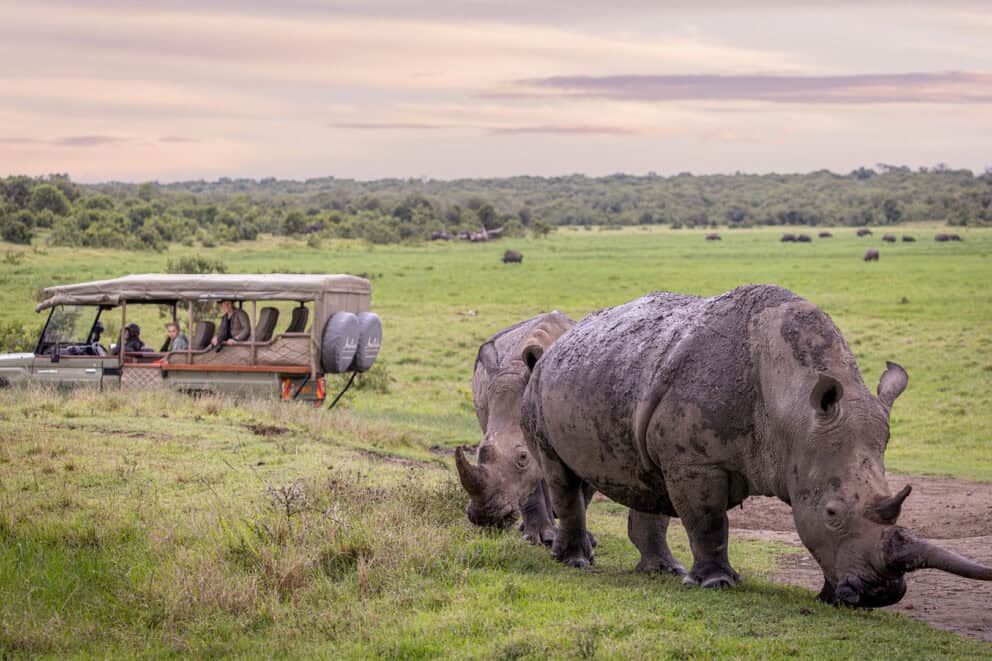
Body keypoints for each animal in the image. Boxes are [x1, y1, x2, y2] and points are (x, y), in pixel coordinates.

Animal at [522, 284, 992, 606]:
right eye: (832, 513)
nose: (881, 595)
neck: (792, 411)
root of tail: (559, 342)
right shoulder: (696, 462)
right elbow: (708, 521)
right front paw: (717, 584)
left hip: (612, 372)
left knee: (643, 479)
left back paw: (662, 572)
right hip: (541, 384)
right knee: (561, 475)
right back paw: (575, 562)